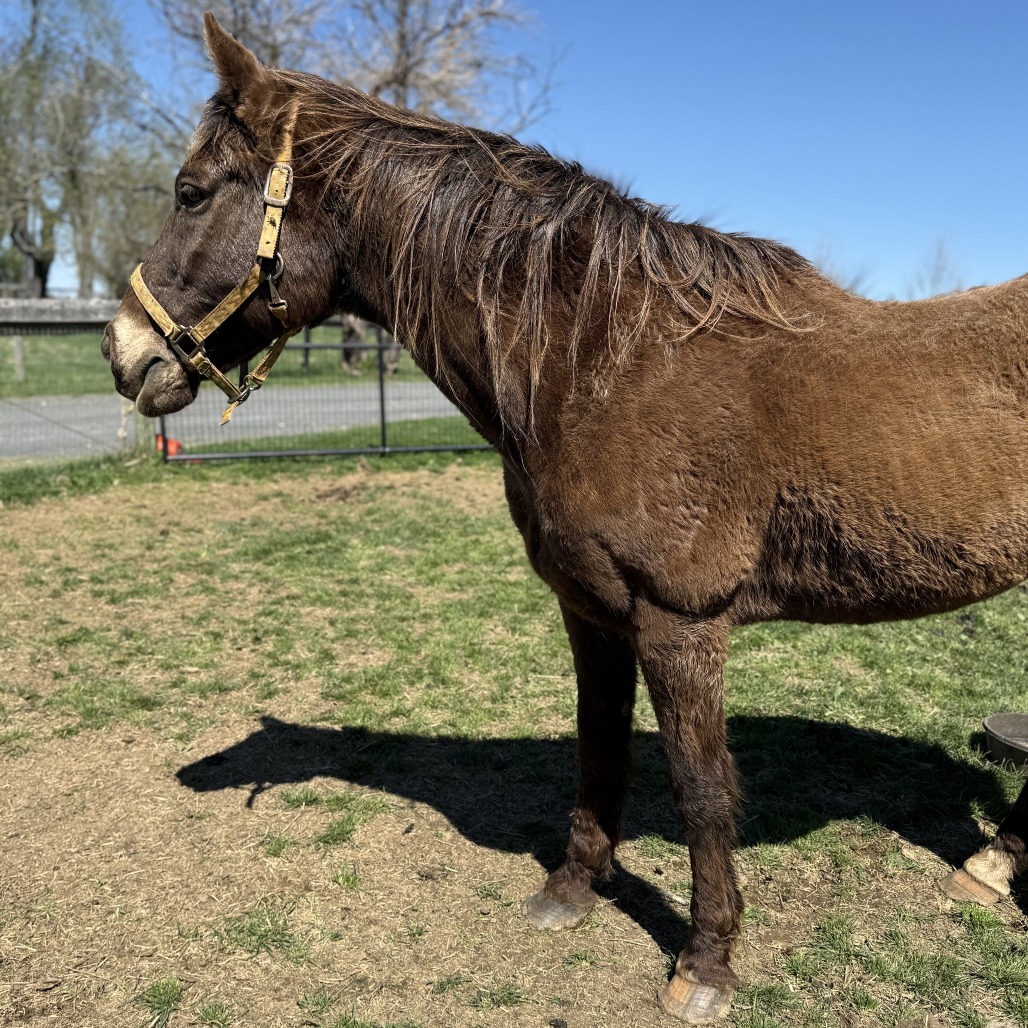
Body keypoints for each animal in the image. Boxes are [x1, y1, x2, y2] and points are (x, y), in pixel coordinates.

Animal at [102, 14, 1028, 1023]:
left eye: (192, 192)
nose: (121, 352)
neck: (608, 361)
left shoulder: (679, 624)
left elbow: (702, 788)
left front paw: (706, 962)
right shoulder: (591, 610)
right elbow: (597, 747)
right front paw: (575, 888)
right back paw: (994, 864)